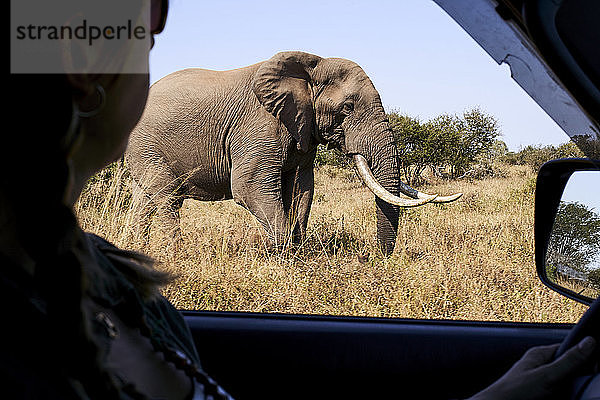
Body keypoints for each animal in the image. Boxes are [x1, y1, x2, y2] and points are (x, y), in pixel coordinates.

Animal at [124, 51, 462, 255]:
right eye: (348, 107)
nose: (378, 260)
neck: (311, 65)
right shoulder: (257, 125)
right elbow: (248, 187)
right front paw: (282, 260)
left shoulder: (303, 129)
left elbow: (302, 189)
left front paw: (298, 256)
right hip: (147, 147)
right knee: (167, 198)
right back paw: (173, 255)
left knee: (145, 201)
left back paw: (136, 253)